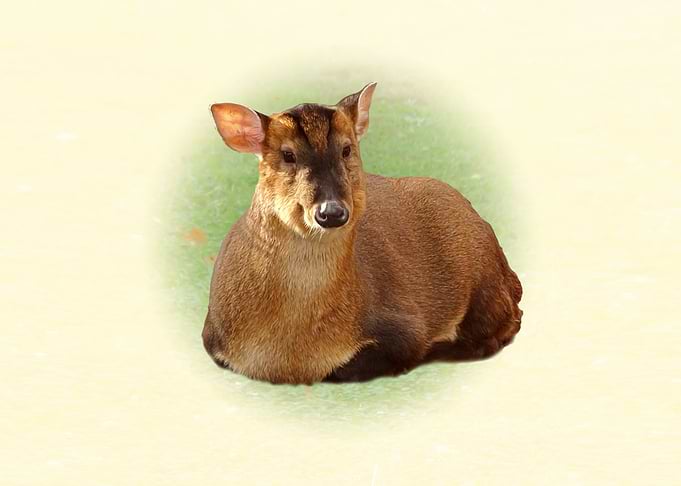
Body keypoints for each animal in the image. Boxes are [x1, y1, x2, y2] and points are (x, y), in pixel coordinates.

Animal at [201, 82, 523, 384]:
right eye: (288, 154)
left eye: (347, 149)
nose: (331, 212)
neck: (290, 359)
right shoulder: (212, 337)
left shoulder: (404, 326)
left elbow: (346, 368)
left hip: (485, 283)